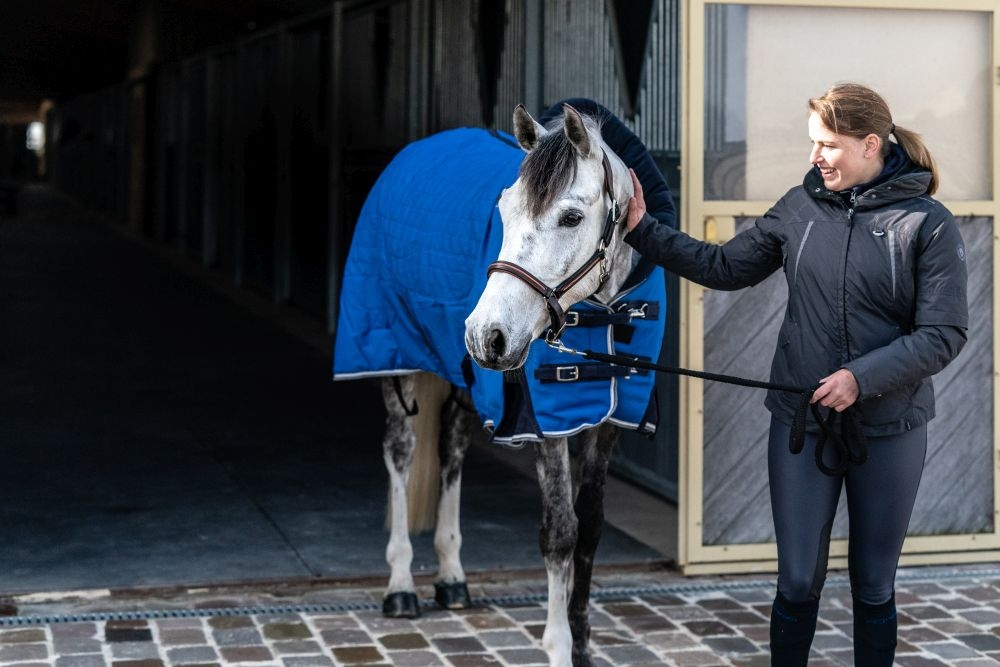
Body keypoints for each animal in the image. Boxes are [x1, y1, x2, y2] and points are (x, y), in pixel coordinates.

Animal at [334, 103, 663, 667]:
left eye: (571, 217)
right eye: (503, 212)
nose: (485, 333)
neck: (602, 314)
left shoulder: (607, 422)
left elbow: (591, 527)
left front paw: (582, 643)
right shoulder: (546, 424)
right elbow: (560, 532)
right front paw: (558, 646)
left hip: (467, 376)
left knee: (451, 447)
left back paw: (451, 576)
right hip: (399, 354)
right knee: (401, 450)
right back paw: (400, 584)